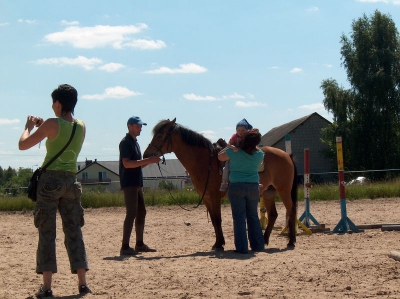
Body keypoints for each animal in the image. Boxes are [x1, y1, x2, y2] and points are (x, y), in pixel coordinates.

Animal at [143, 118, 296, 250]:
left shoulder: (214, 197)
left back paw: (291, 241)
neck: (205, 162)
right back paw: (264, 240)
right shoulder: (206, 198)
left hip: (283, 190)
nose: (146, 155)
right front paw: (218, 243)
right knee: (273, 215)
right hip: (268, 192)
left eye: (160, 135)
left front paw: (219, 244)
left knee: (291, 210)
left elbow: (217, 220)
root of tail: (286, 155)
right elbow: (213, 220)